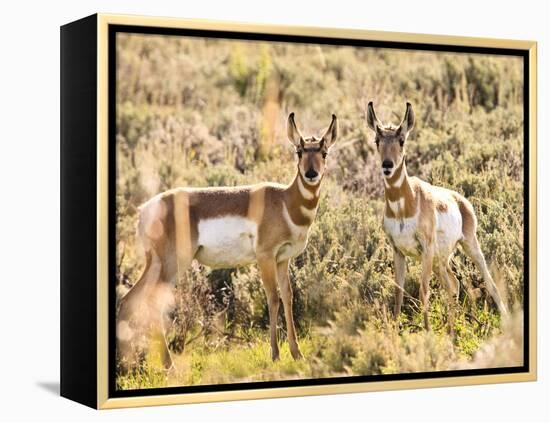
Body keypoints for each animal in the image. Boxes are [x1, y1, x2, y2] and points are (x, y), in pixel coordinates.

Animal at [118, 113, 338, 372]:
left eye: (323, 152)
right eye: (299, 151)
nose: (311, 174)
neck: (285, 201)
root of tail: (146, 209)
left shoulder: (283, 259)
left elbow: (287, 297)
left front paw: (297, 354)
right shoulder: (265, 257)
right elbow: (272, 298)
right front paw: (275, 354)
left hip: (156, 264)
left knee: (129, 300)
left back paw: (127, 365)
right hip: (173, 264)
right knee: (153, 302)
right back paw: (168, 365)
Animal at [366, 102, 508, 332]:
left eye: (401, 139)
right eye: (377, 140)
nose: (387, 164)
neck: (405, 205)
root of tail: (460, 200)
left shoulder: (426, 248)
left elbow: (424, 289)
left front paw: (428, 331)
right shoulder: (398, 250)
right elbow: (398, 291)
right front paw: (395, 330)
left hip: (469, 246)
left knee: (489, 282)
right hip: (441, 260)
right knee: (453, 284)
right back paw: (451, 329)